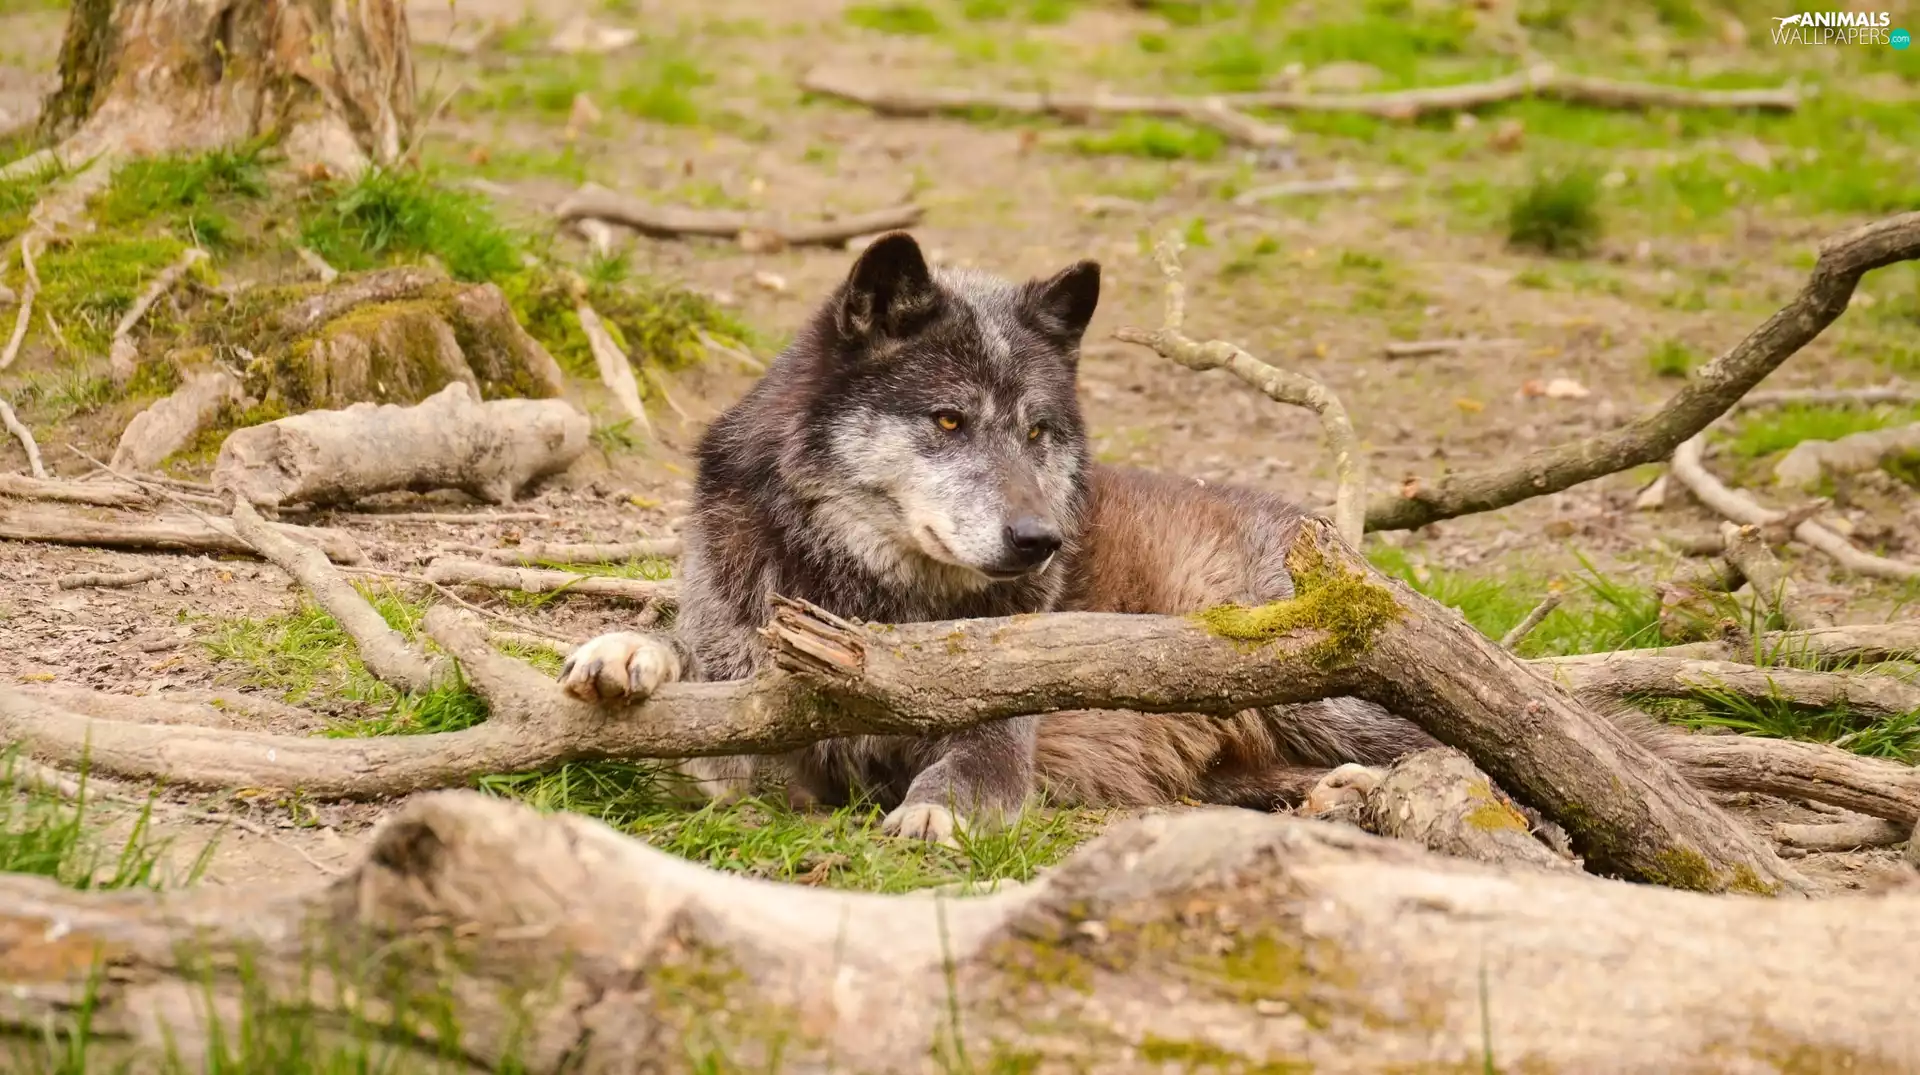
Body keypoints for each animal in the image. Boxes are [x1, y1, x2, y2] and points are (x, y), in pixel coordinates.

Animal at [556, 231, 1437, 841]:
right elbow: (689, 666)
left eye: (1038, 430)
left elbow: (974, 765)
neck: (870, 600)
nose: (1040, 539)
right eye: (950, 420)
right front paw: (626, 652)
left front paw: (936, 812)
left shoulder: (1001, 729)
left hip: (1322, 688)